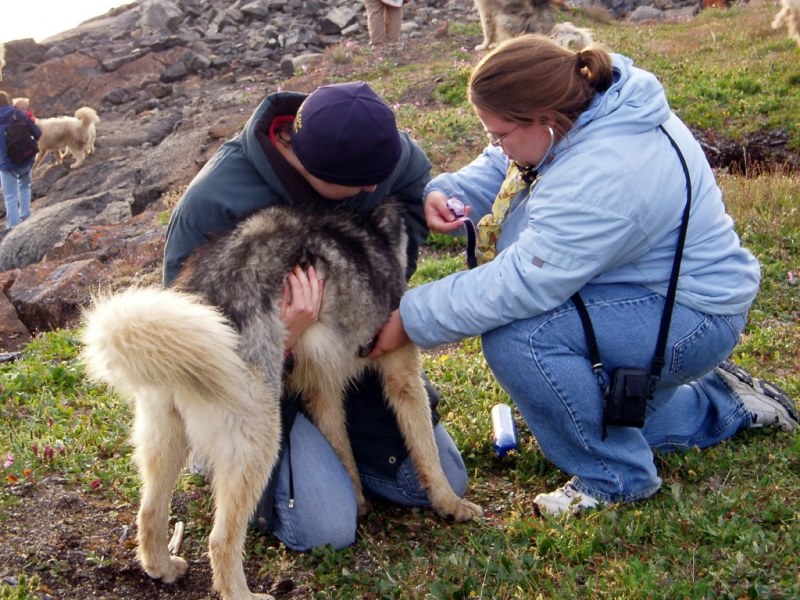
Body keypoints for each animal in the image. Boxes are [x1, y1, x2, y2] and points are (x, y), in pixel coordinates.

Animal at [81, 198, 484, 600]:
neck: (373, 234)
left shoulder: (324, 391)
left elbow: (343, 452)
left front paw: (357, 500)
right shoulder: (401, 375)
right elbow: (427, 452)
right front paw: (451, 505)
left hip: (165, 438)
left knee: (150, 511)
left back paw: (161, 566)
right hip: (258, 440)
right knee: (220, 540)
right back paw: (243, 594)